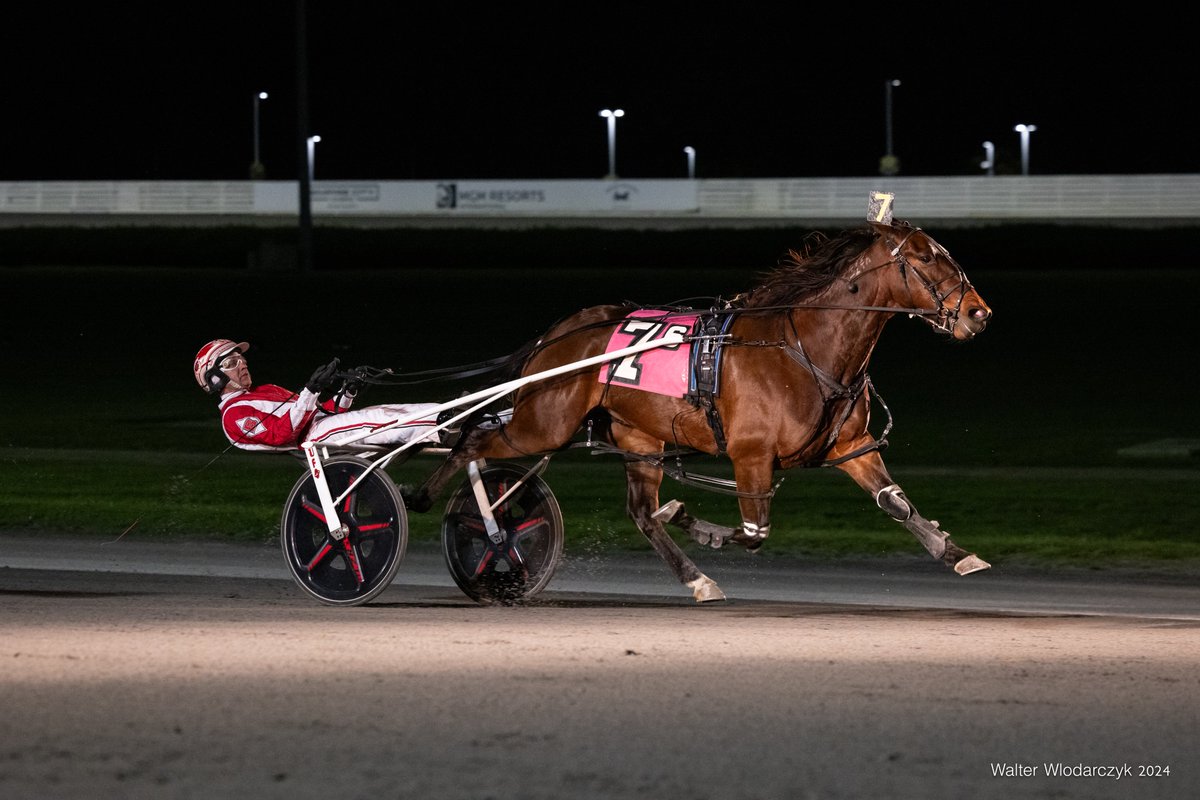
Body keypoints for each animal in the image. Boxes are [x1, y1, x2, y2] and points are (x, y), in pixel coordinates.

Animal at [410, 219, 993, 599]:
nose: (978, 313)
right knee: (471, 437)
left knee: (640, 511)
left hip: (638, 436)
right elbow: (754, 533)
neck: (805, 348)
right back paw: (444, 505)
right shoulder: (750, 453)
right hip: (544, 423)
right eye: (925, 257)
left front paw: (956, 552)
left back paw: (695, 578)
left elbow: (896, 503)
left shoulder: (851, 446)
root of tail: (557, 334)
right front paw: (694, 520)